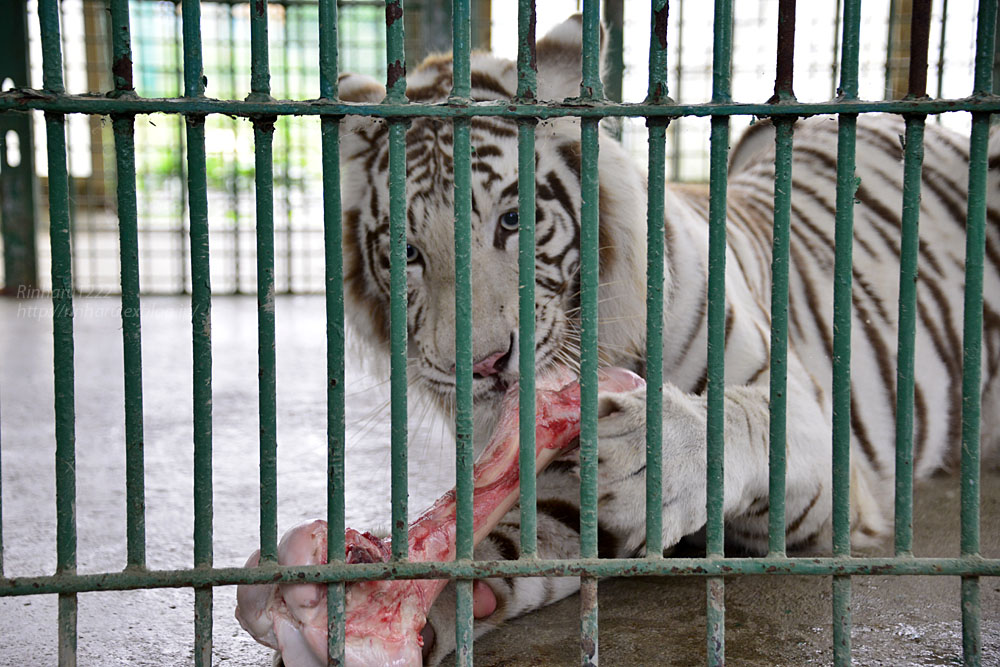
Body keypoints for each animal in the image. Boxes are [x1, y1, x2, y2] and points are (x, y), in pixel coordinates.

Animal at [334, 13, 1000, 664]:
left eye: (513, 219)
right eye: (408, 254)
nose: (484, 364)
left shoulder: (824, 451)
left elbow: (741, 418)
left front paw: (655, 452)